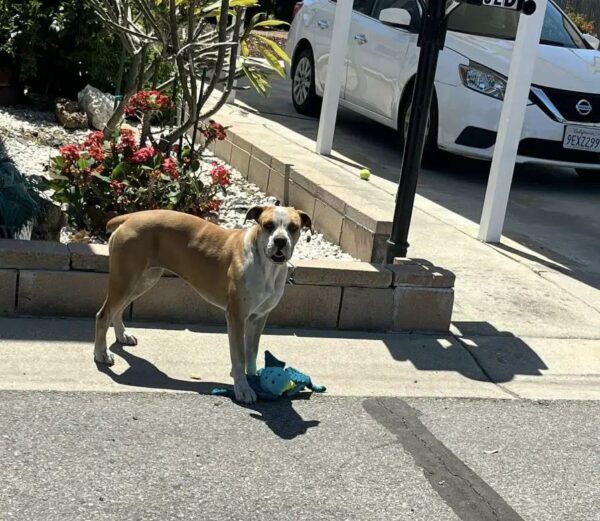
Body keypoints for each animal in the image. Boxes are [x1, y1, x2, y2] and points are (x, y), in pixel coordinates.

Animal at [95, 206, 310, 402]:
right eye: (268, 225)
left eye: (293, 227)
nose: (280, 240)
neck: (266, 266)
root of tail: (130, 217)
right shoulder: (236, 317)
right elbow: (239, 357)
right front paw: (243, 388)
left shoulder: (259, 318)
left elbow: (251, 352)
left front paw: (253, 378)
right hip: (126, 279)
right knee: (104, 314)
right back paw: (101, 354)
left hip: (143, 280)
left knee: (117, 310)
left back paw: (122, 335)